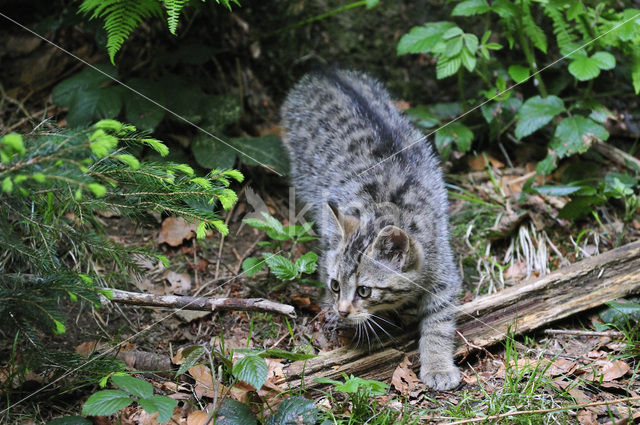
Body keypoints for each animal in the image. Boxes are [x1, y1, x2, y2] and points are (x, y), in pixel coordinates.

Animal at [280, 69, 460, 390]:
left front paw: (438, 364)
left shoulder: (443, 272)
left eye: (364, 290)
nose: (341, 310)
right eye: (335, 285)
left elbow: (439, 321)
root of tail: (324, 72)